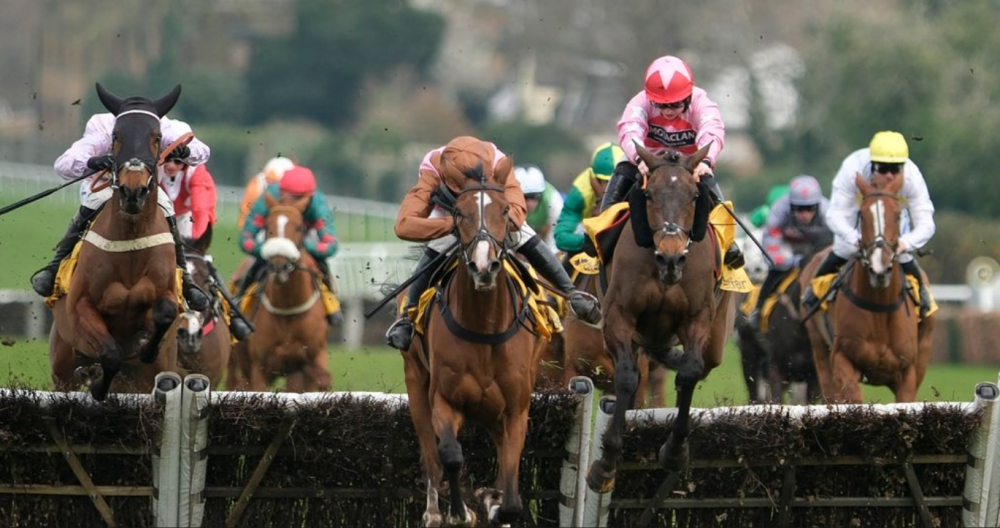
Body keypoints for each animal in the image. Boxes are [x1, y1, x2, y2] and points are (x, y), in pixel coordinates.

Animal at [49, 84, 182, 401]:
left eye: (157, 137)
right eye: (115, 136)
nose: (133, 192)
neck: (130, 244)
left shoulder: (167, 293)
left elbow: (166, 312)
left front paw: (145, 345)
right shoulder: (80, 307)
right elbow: (110, 353)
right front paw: (97, 383)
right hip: (62, 360)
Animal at [401, 168, 547, 526]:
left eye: (505, 211)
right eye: (459, 213)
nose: (484, 266)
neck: (485, 328)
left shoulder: (515, 409)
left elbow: (510, 484)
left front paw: (494, 502)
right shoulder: (444, 399)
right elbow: (451, 455)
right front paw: (461, 511)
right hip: (416, 383)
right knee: (430, 455)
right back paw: (435, 512)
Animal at [586, 144, 737, 493]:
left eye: (694, 196)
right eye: (650, 194)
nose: (671, 257)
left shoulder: (698, 317)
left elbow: (691, 371)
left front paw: (675, 451)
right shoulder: (619, 316)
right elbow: (627, 378)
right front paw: (606, 463)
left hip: (717, 337)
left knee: (698, 364)